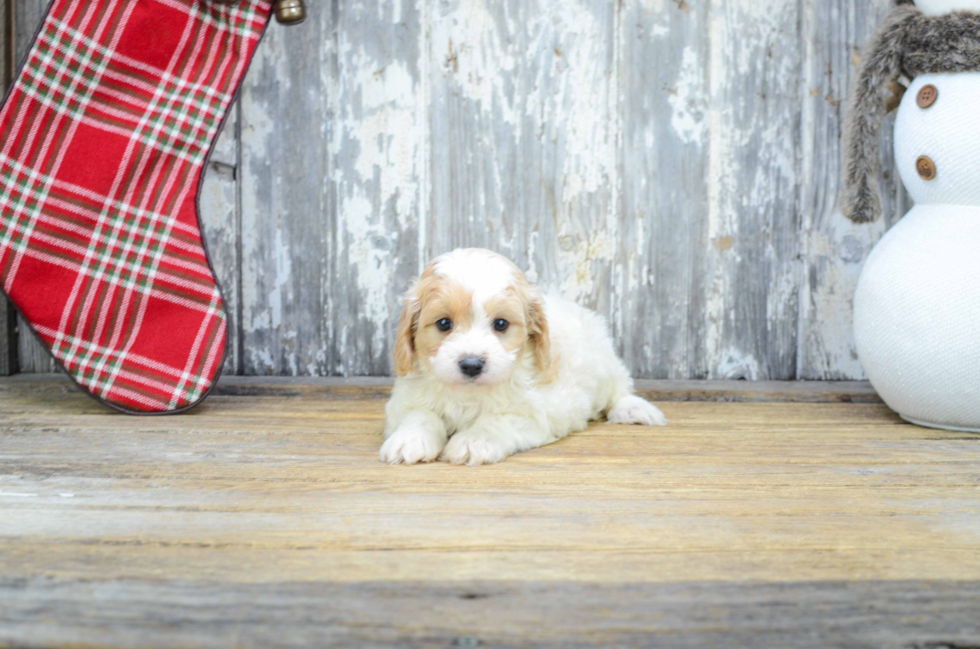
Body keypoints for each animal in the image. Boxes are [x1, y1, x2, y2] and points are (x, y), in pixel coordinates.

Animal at [382, 248, 668, 466]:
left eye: (500, 324)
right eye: (443, 323)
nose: (472, 365)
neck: (469, 393)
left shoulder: (534, 414)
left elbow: (496, 421)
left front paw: (474, 441)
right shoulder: (407, 399)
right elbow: (419, 415)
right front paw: (409, 440)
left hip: (605, 362)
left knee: (618, 390)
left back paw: (634, 409)